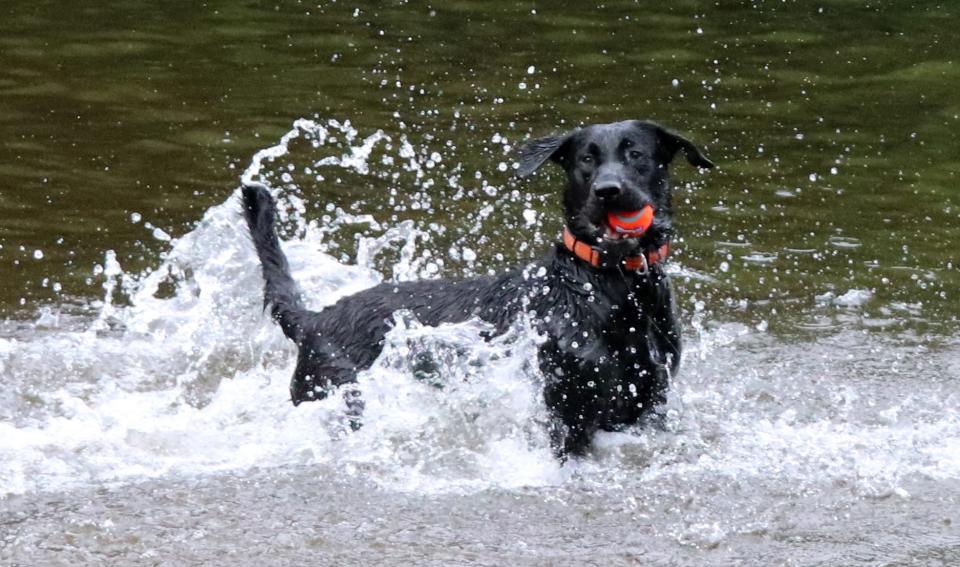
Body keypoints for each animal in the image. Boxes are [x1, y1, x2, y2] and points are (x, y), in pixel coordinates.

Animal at [242, 120, 712, 458]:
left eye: (636, 154)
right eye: (586, 160)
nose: (608, 190)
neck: (609, 285)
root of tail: (312, 320)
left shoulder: (649, 402)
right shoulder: (567, 408)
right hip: (338, 394)